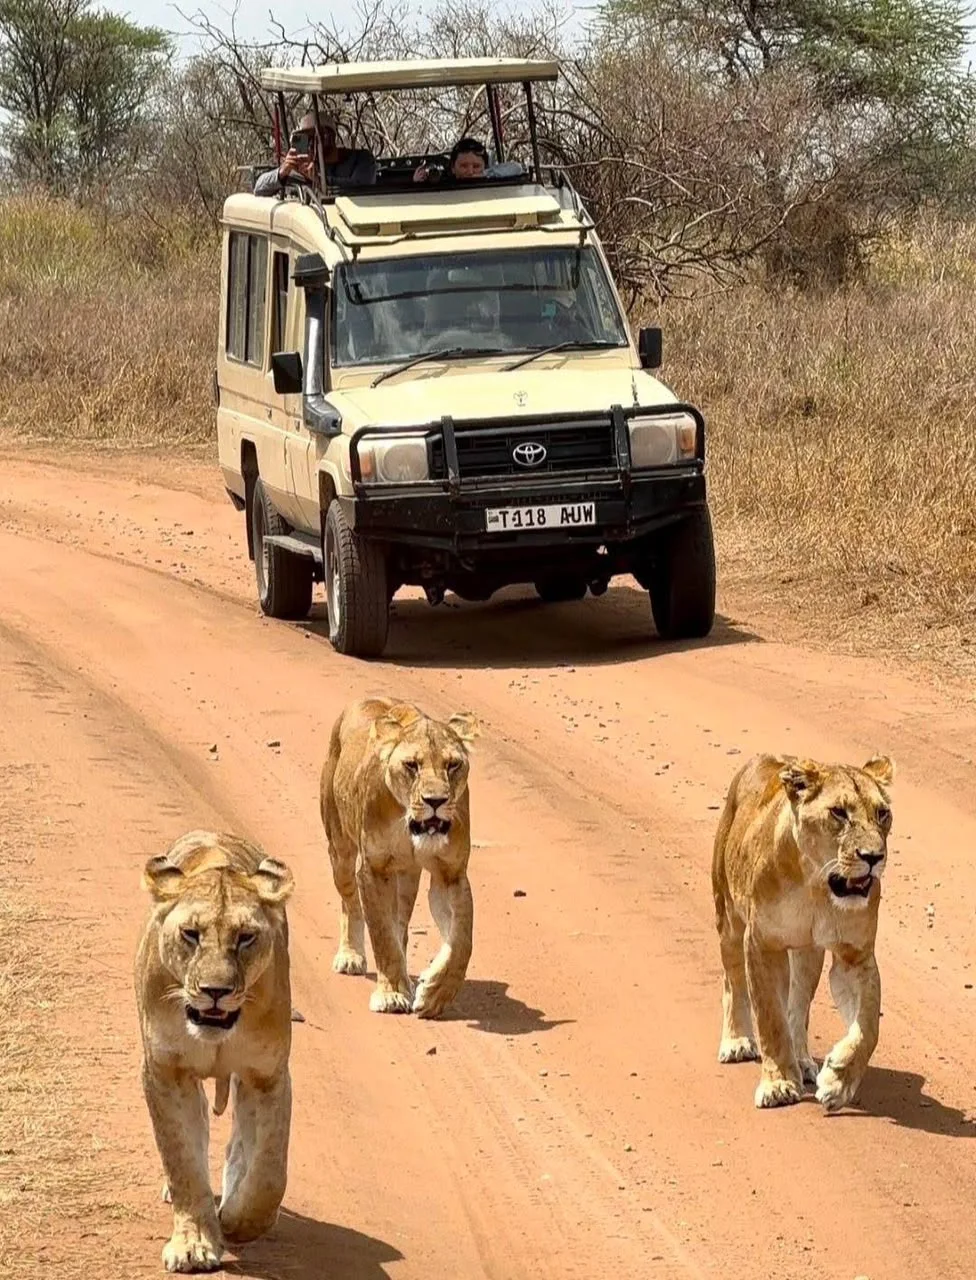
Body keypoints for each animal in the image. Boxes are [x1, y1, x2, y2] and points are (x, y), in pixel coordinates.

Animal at [134, 829, 295, 1273]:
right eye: (191, 934)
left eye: (246, 937)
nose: (215, 991)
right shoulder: (165, 1071)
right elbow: (182, 1161)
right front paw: (193, 1244)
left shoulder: (267, 1074)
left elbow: (269, 1172)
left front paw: (238, 1223)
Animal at [320, 696, 480, 1019]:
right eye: (411, 765)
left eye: (453, 764)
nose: (436, 801)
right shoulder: (373, 869)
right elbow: (382, 936)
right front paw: (391, 994)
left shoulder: (451, 875)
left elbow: (461, 940)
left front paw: (435, 993)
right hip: (340, 851)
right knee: (350, 903)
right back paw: (351, 955)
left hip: (406, 876)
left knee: (401, 924)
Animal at [711, 751, 895, 1112]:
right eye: (838, 812)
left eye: (882, 813)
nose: (874, 857)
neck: (816, 885)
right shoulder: (762, 944)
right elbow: (770, 1019)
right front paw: (779, 1085)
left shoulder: (855, 955)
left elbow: (868, 1027)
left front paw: (838, 1081)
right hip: (728, 917)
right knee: (733, 981)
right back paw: (736, 1041)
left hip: (807, 953)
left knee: (798, 1006)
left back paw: (804, 1062)